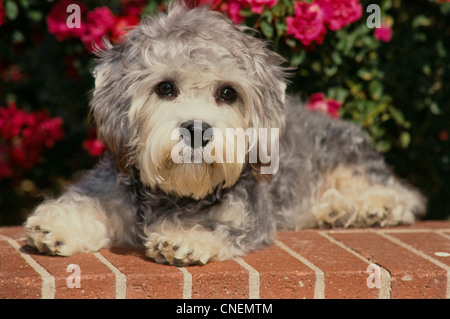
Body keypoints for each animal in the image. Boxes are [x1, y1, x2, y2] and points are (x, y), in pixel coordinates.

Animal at [23, 2, 426, 268]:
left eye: (228, 93)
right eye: (165, 88)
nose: (197, 130)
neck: (177, 195)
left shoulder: (249, 217)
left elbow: (219, 227)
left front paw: (185, 235)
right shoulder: (115, 186)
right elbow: (91, 202)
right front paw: (59, 224)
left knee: (402, 196)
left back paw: (365, 208)